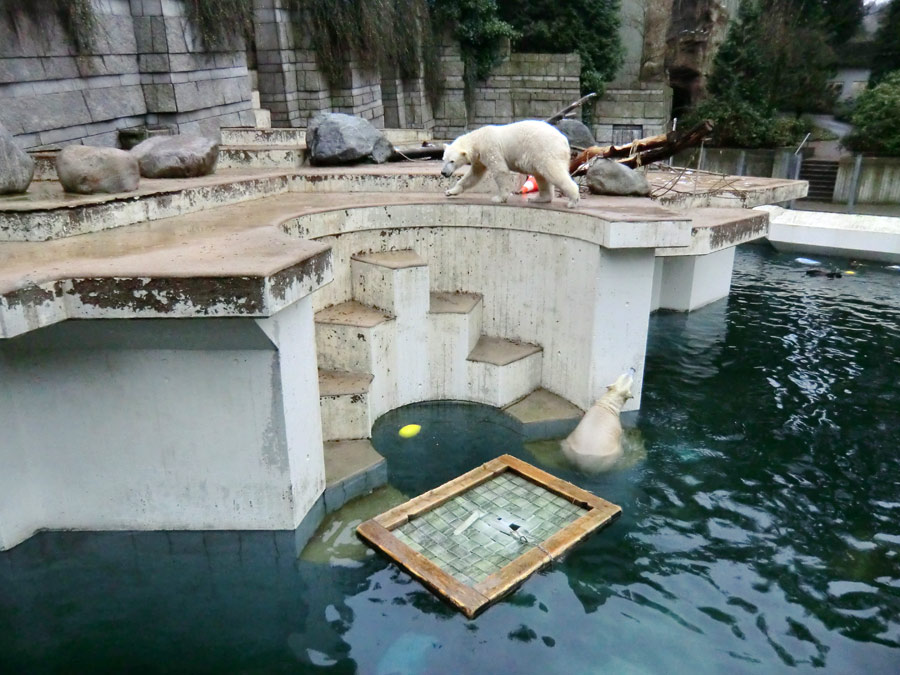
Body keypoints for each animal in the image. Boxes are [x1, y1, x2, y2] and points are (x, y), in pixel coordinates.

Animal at [440, 120, 580, 207]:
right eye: (444, 159)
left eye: (452, 161)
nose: (444, 172)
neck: (478, 139)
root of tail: (564, 140)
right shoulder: (480, 158)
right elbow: (473, 175)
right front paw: (450, 191)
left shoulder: (491, 149)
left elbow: (500, 171)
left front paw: (499, 198)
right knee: (541, 176)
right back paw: (538, 198)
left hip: (546, 150)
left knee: (553, 172)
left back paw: (573, 201)